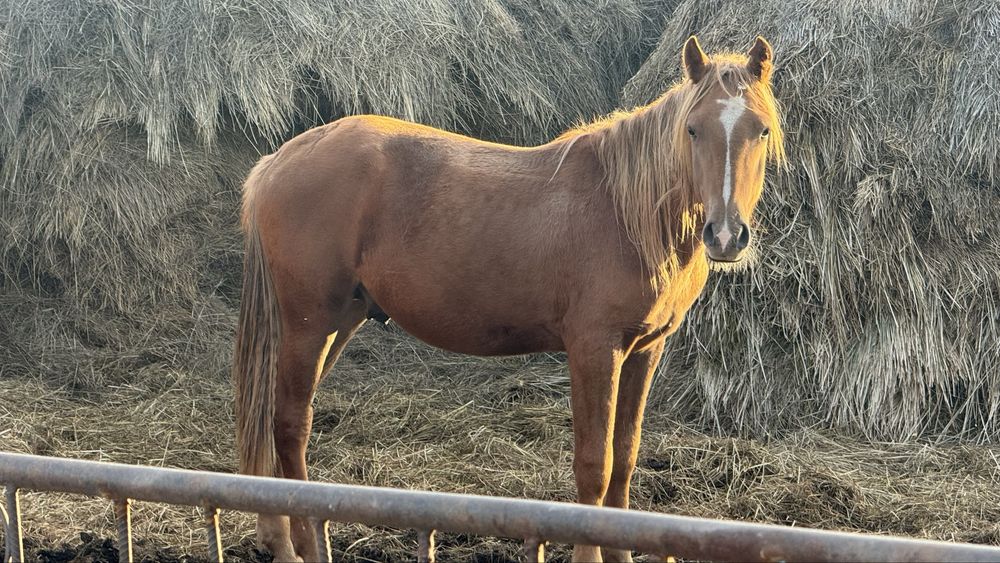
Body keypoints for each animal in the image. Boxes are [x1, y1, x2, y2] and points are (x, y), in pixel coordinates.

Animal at [233, 35, 785, 562]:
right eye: (693, 129)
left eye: (760, 130)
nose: (725, 235)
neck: (623, 210)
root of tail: (278, 161)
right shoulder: (594, 349)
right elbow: (595, 463)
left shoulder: (644, 350)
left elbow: (624, 458)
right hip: (308, 325)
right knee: (289, 424)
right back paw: (301, 546)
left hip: (338, 324)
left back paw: (277, 537)